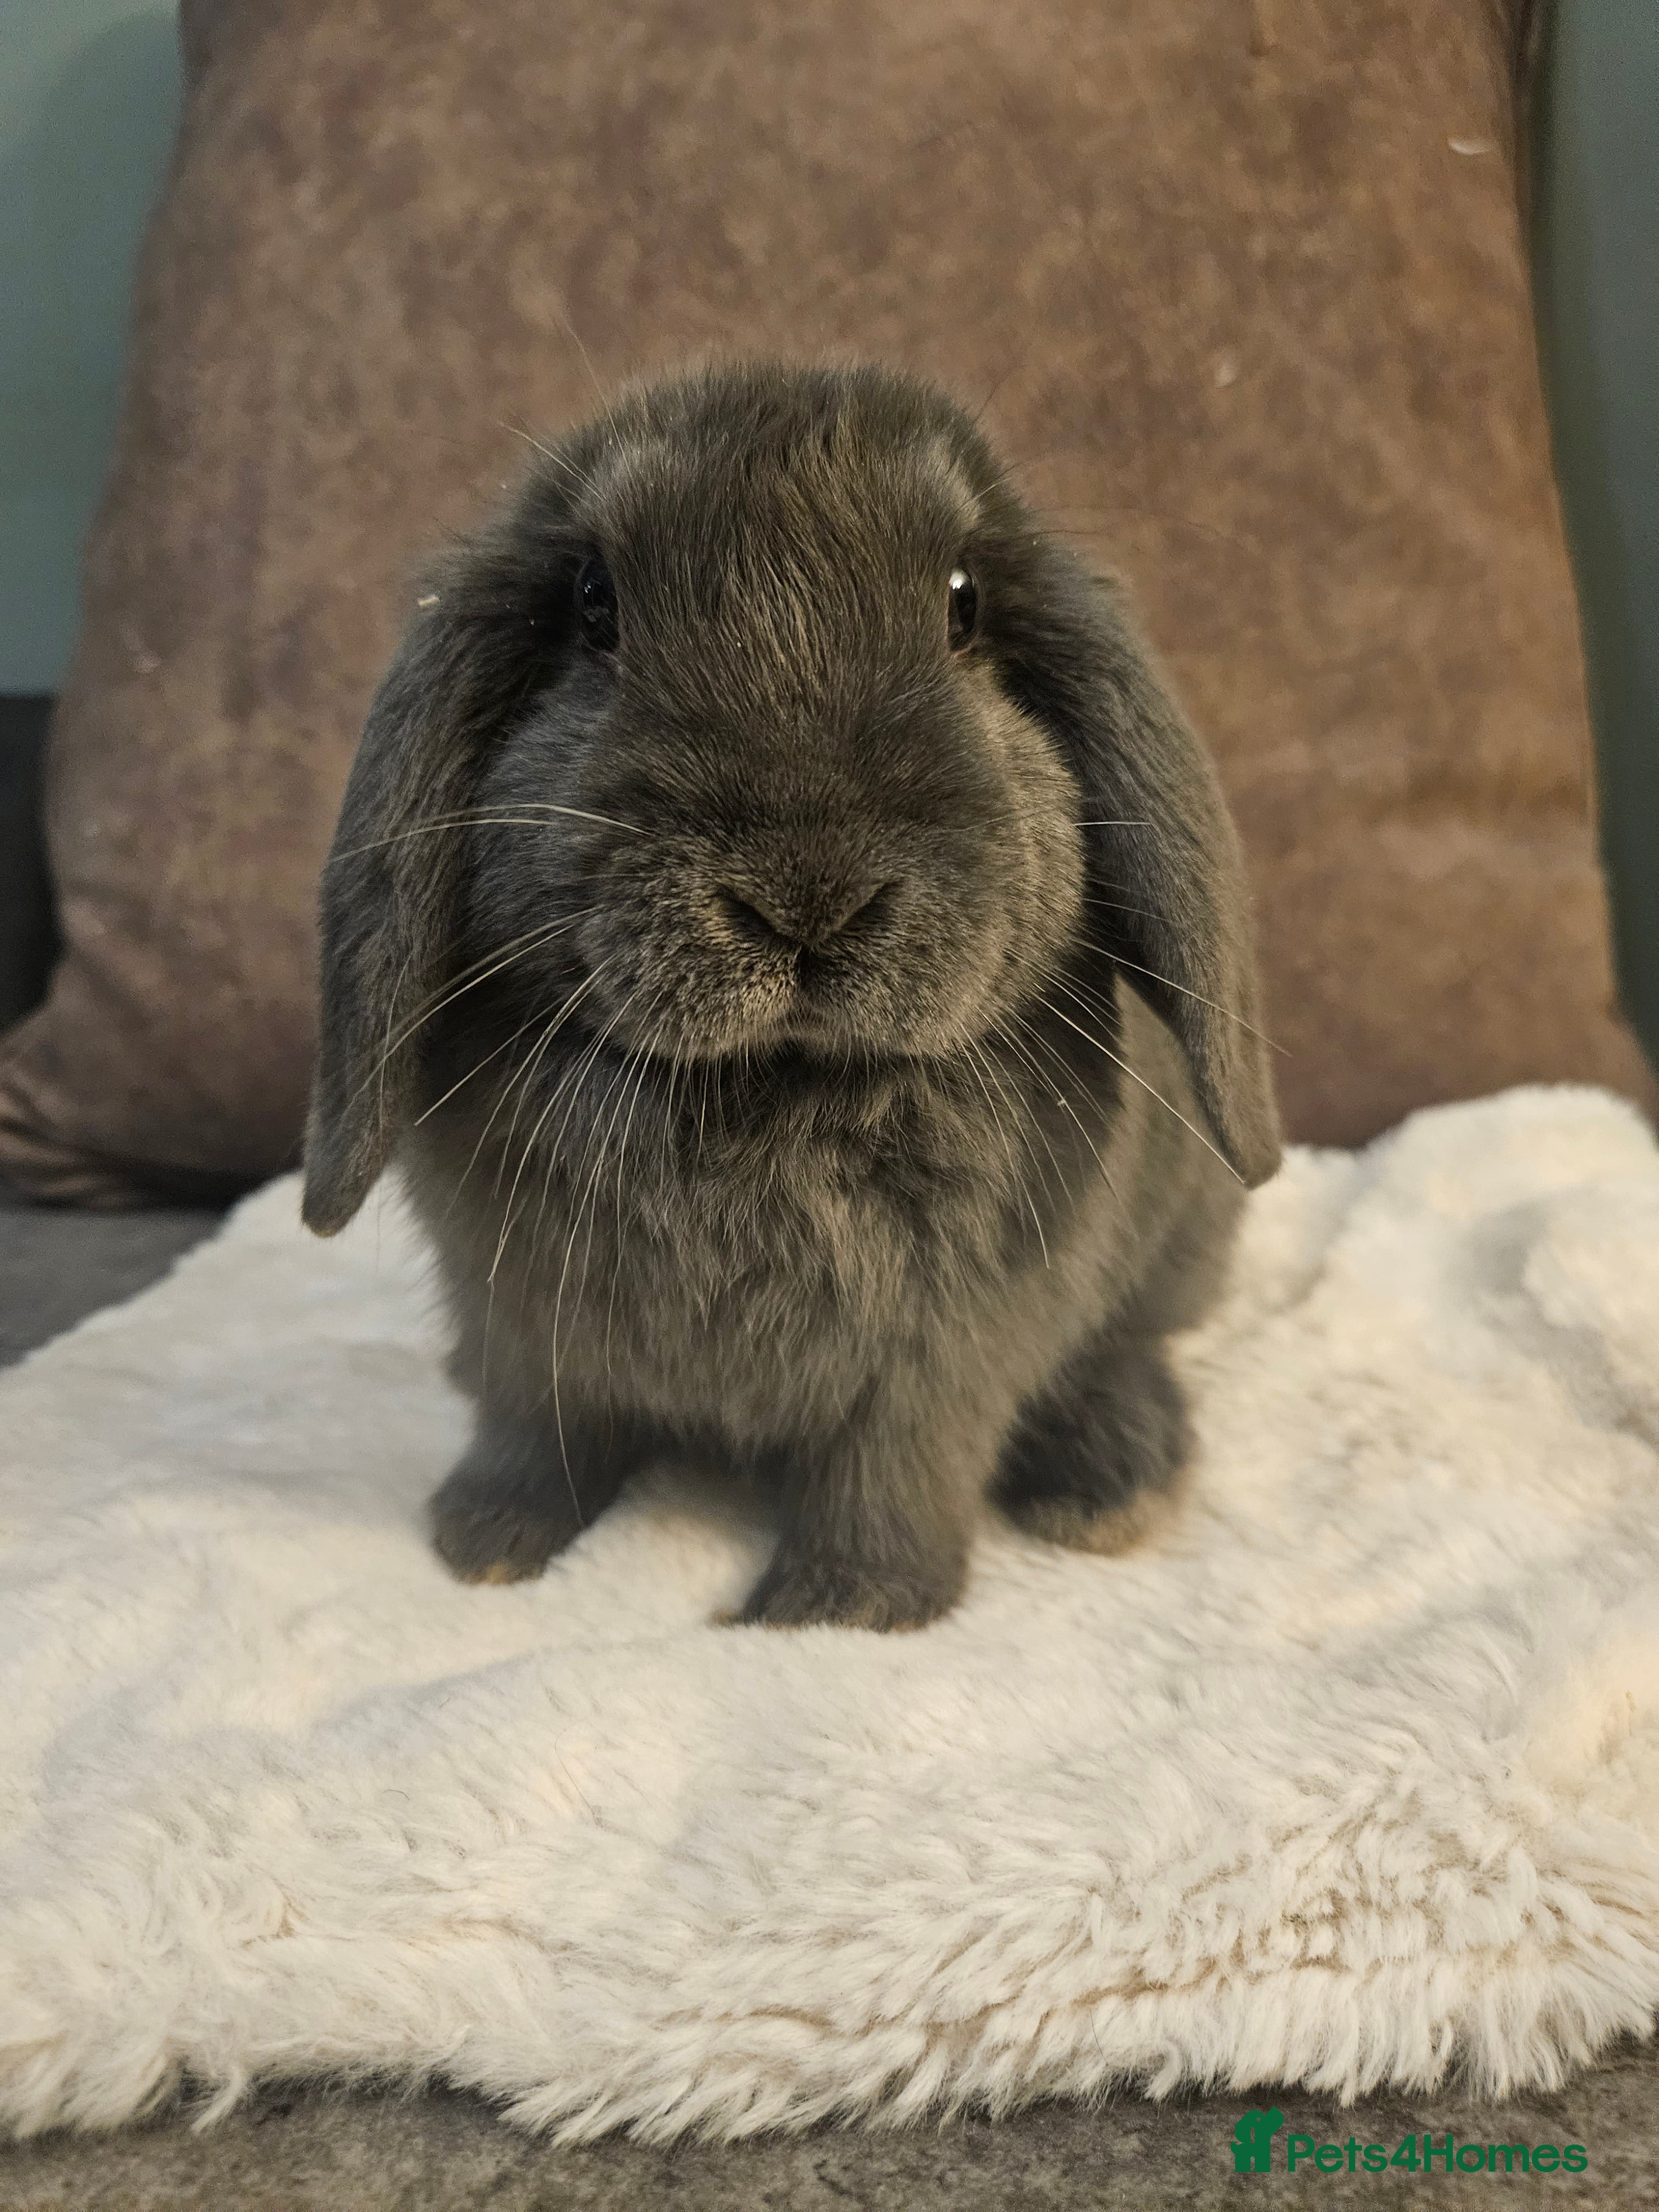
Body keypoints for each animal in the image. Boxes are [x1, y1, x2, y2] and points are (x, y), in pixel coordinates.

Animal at [302, 359, 1281, 1632]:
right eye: (593, 604)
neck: (771, 1091)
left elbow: (891, 1478)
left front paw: (838, 1612)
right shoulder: (518, 1324)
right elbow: (537, 1432)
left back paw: (1112, 1481)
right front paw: (490, 1543)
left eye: (964, 603)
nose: (806, 894)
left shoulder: (940, 1364)